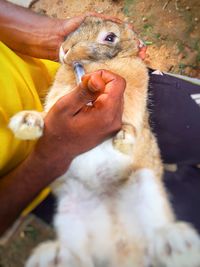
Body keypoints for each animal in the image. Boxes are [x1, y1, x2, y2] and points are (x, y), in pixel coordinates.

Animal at [9, 16, 200, 267]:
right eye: (81, 25)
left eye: (110, 37)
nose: (65, 49)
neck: (94, 65)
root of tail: (120, 250)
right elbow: (47, 115)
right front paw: (26, 123)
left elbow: (131, 122)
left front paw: (124, 139)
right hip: (70, 208)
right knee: (81, 258)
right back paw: (52, 257)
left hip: (145, 183)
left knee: (155, 237)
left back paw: (177, 243)